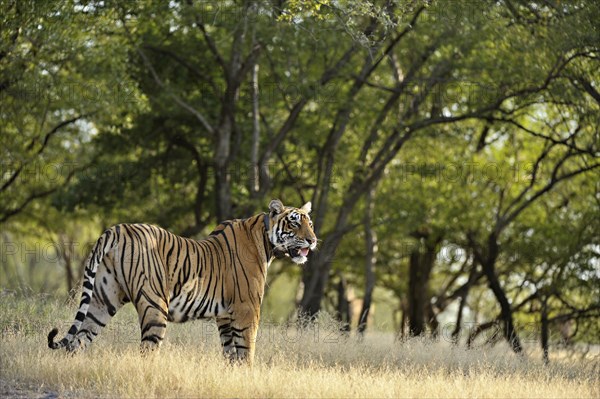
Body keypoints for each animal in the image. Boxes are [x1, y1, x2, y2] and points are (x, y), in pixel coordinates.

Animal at [46, 200, 316, 366]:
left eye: (310, 224)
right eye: (294, 222)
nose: (313, 240)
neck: (266, 241)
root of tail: (117, 229)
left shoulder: (225, 316)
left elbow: (230, 354)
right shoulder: (246, 310)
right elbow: (246, 353)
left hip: (102, 301)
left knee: (77, 342)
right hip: (155, 305)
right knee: (146, 351)